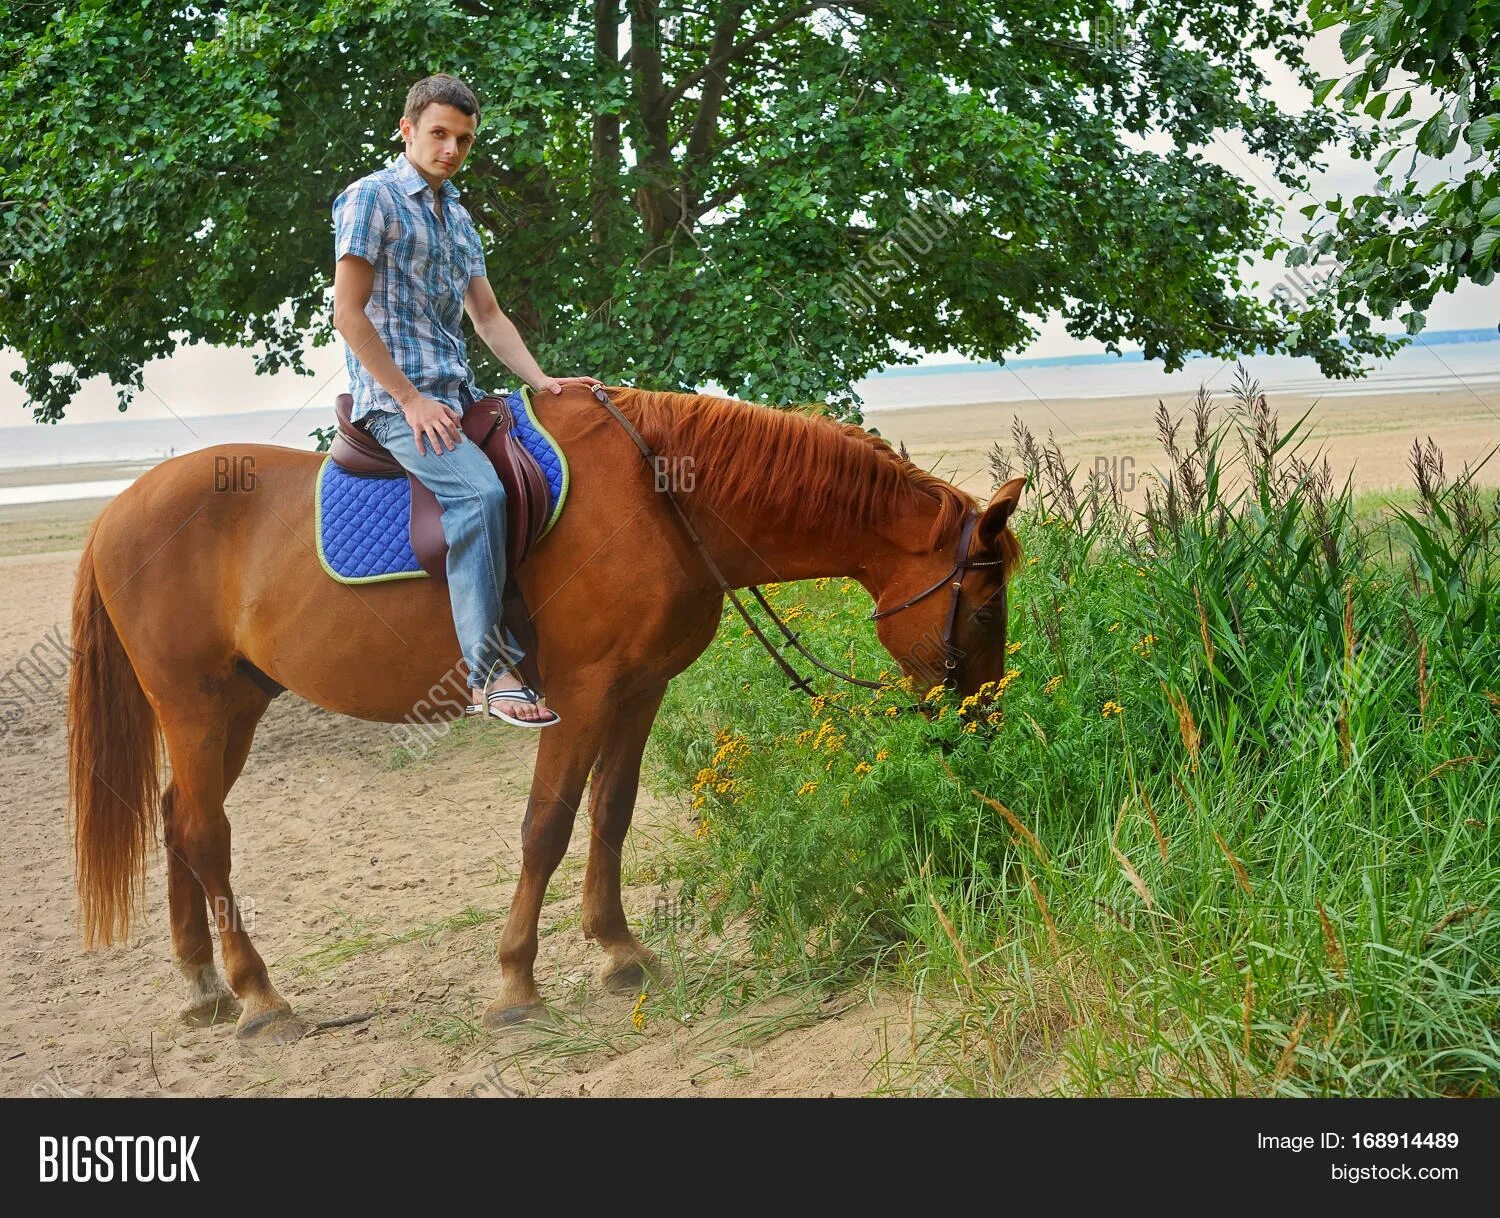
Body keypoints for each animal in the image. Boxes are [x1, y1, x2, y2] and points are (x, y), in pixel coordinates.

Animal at [67, 384, 1020, 1044]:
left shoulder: (639, 689)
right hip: (194, 705)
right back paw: (260, 997)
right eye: (982, 607)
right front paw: (517, 983)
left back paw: (205, 988)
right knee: (204, 833)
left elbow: (611, 814)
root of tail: (117, 513)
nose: (978, 727)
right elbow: (547, 825)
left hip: (237, 702)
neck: (661, 498)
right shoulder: (584, 693)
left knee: (178, 819)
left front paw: (621, 953)